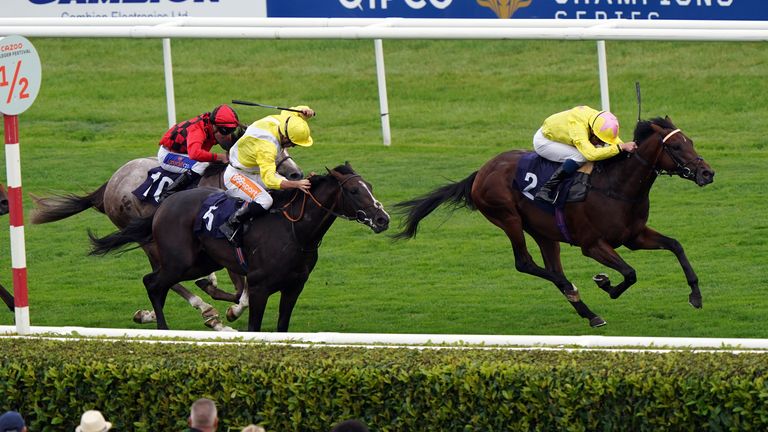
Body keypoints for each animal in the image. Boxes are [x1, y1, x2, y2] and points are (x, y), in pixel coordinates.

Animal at [33, 154, 304, 330]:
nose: (296, 174)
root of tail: (110, 183)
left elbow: (240, 289)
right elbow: (240, 291)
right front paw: (229, 309)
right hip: (150, 239)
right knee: (162, 275)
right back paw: (203, 312)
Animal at [90, 164, 390, 332]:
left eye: (370, 186)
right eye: (354, 191)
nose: (382, 219)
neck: (294, 231)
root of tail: (165, 204)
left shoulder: (294, 286)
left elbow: (282, 327)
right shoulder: (259, 286)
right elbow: (253, 326)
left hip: (200, 262)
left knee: (156, 282)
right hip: (179, 262)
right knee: (154, 283)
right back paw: (163, 327)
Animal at [396, 117, 712, 328]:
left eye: (691, 142)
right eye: (676, 146)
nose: (708, 173)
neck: (616, 187)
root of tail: (482, 171)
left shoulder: (633, 236)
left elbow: (675, 245)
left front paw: (695, 296)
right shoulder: (592, 244)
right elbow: (630, 273)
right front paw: (606, 283)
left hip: (543, 231)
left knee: (550, 267)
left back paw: (589, 314)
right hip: (508, 218)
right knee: (526, 263)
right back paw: (573, 288)